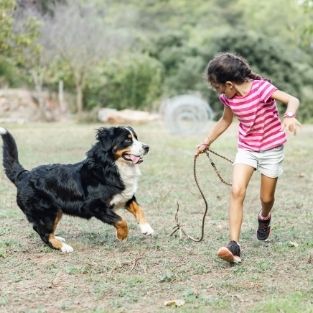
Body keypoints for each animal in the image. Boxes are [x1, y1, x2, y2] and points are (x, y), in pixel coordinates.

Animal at [0, 125, 154, 252]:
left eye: (136, 137)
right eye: (127, 140)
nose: (147, 147)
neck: (110, 167)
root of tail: (24, 175)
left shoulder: (125, 196)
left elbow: (139, 209)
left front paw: (146, 228)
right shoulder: (96, 206)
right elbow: (121, 221)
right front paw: (122, 236)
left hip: (55, 211)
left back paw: (58, 238)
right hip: (47, 211)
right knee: (43, 232)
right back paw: (63, 247)